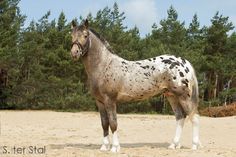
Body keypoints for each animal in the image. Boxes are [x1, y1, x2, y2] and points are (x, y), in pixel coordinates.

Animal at [69, 19, 201, 152]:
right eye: (72, 35)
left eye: (85, 35)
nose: (74, 53)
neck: (104, 65)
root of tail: (185, 63)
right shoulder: (100, 102)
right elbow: (105, 123)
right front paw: (104, 147)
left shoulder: (110, 100)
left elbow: (113, 123)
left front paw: (115, 148)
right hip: (171, 96)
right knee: (180, 118)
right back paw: (174, 145)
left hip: (184, 96)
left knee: (194, 118)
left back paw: (194, 146)